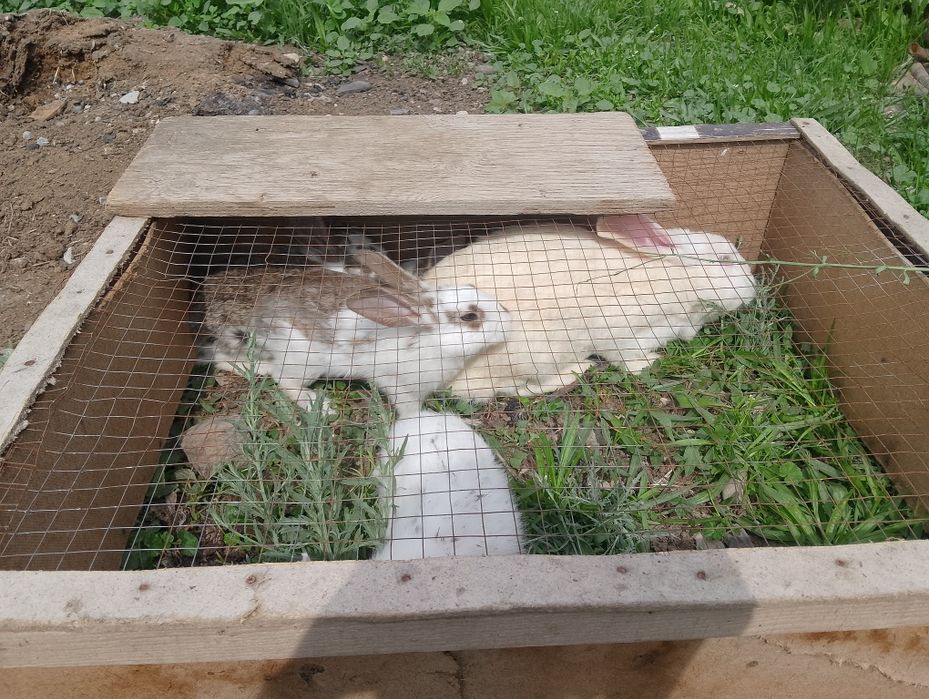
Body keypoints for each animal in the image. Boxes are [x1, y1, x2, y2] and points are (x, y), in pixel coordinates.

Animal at [197, 248, 512, 417]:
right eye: (470, 317)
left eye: (472, 286)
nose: (509, 319)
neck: (428, 338)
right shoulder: (399, 385)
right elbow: (410, 409)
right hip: (306, 362)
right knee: (282, 380)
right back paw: (320, 405)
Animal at [420, 215, 758, 400]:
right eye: (725, 260)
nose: (754, 287)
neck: (674, 278)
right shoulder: (623, 335)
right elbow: (625, 359)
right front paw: (650, 362)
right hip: (531, 355)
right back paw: (577, 369)